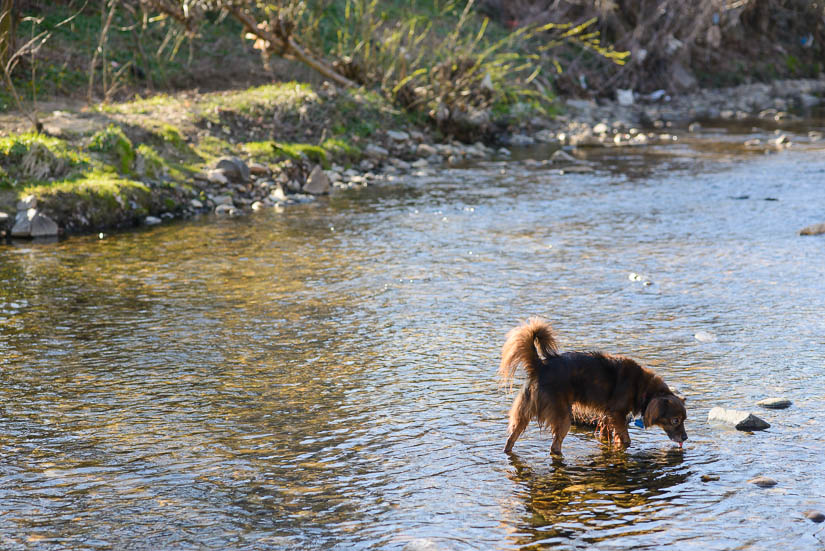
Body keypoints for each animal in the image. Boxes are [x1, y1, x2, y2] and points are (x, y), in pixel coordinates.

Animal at [498, 316, 684, 454]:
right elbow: (625, 438)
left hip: (524, 414)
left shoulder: (607, 416)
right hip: (563, 417)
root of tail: (540, 365)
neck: (642, 386)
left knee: (510, 439)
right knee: (554, 447)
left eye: (684, 419)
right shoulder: (617, 414)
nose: (685, 438)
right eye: (675, 420)